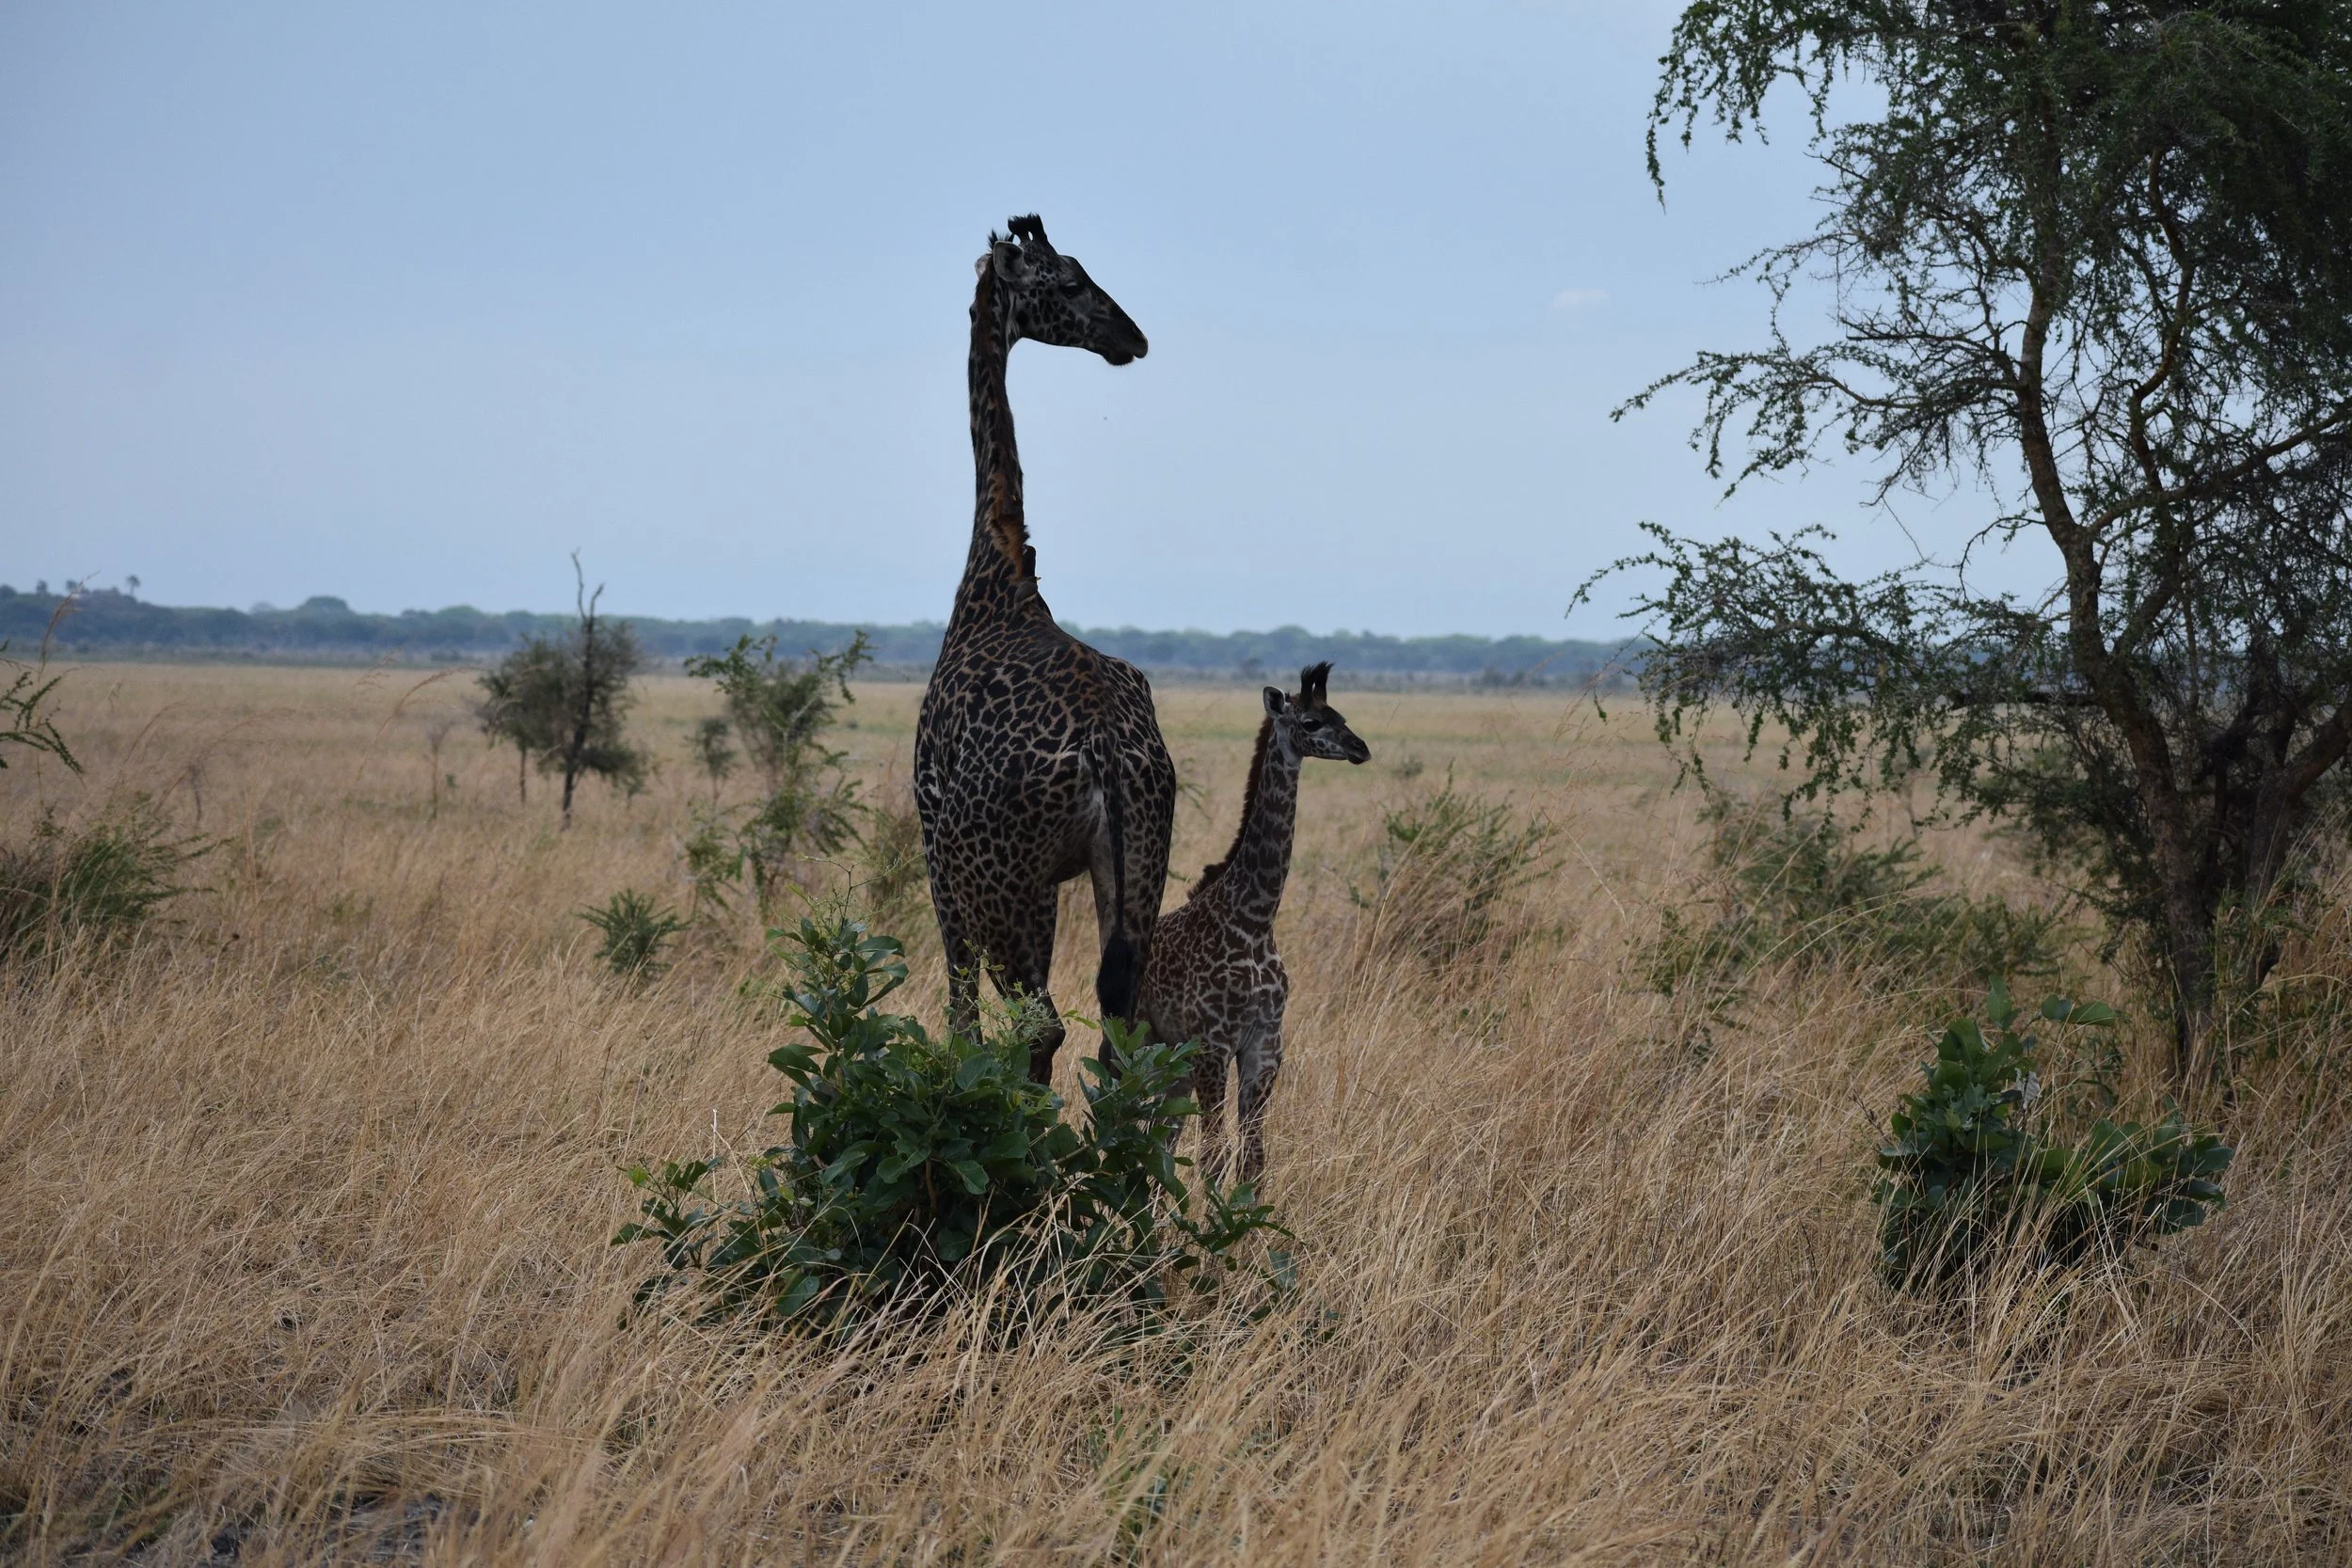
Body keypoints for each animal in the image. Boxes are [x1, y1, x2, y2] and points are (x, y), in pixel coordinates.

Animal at [915, 215, 1178, 1084]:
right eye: (1066, 279)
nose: (1131, 337)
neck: (996, 571)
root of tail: (1106, 753)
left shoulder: (934, 847)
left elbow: (960, 1012)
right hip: (1137, 866)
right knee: (1122, 1032)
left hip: (1005, 885)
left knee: (1042, 1026)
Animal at [1139, 662, 1370, 1184]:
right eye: (1311, 723)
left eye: (1342, 716)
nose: (1361, 748)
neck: (1255, 919)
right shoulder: (1213, 1045)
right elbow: (1214, 1157)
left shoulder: (1265, 1046)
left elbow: (1254, 1159)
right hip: (1137, 1038)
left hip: (1172, 1062)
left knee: (1162, 1136)